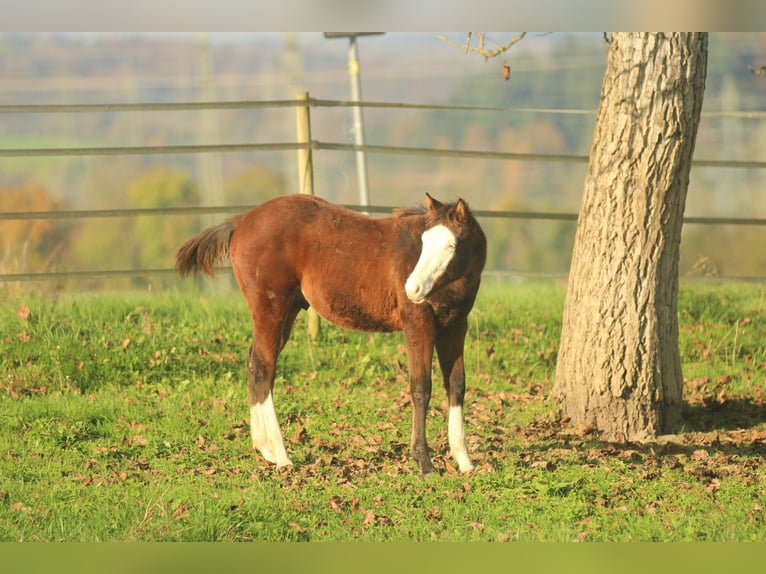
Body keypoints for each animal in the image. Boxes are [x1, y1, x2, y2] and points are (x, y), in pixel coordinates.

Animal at [176, 196, 486, 474]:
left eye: (451, 245)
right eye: (423, 243)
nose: (413, 288)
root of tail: (242, 221)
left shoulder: (455, 329)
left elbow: (456, 385)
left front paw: (465, 461)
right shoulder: (418, 325)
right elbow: (421, 388)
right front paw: (424, 463)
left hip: (287, 312)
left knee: (256, 363)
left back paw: (264, 448)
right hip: (270, 309)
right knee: (263, 367)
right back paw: (282, 456)